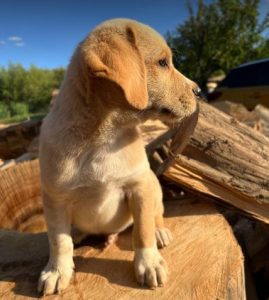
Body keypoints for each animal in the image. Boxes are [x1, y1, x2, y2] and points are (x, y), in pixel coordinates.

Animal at [38, 18, 199, 296]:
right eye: (162, 63)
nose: (199, 91)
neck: (101, 140)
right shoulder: (54, 199)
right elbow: (59, 241)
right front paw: (57, 271)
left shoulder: (139, 186)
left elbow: (143, 230)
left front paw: (149, 263)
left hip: (153, 185)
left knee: (156, 214)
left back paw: (160, 232)